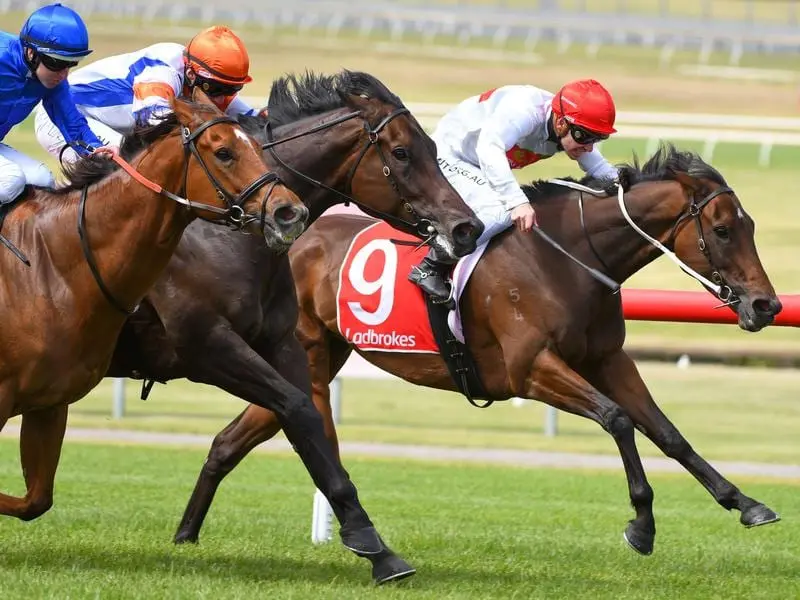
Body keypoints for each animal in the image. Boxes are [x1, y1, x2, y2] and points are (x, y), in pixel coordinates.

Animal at [105, 70, 482, 580]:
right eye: (402, 152)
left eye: (433, 147)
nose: (466, 227)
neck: (225, 234)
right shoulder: (207, 347)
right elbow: (300, 411)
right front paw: (367, 539)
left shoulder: (282, 344)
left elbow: (307, 421)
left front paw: (377, 548)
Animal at [173, 143, 780, 560]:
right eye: (722, 230)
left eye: (749, 225)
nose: (767, 305)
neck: (570, 258)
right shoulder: (529, 369)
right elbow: (618, 420)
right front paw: (642, 525)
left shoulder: (607, 360)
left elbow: (667, 433)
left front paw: (746, 504)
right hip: (309, 359)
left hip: (316, 359)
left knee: (232, 439)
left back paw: (186, 534)